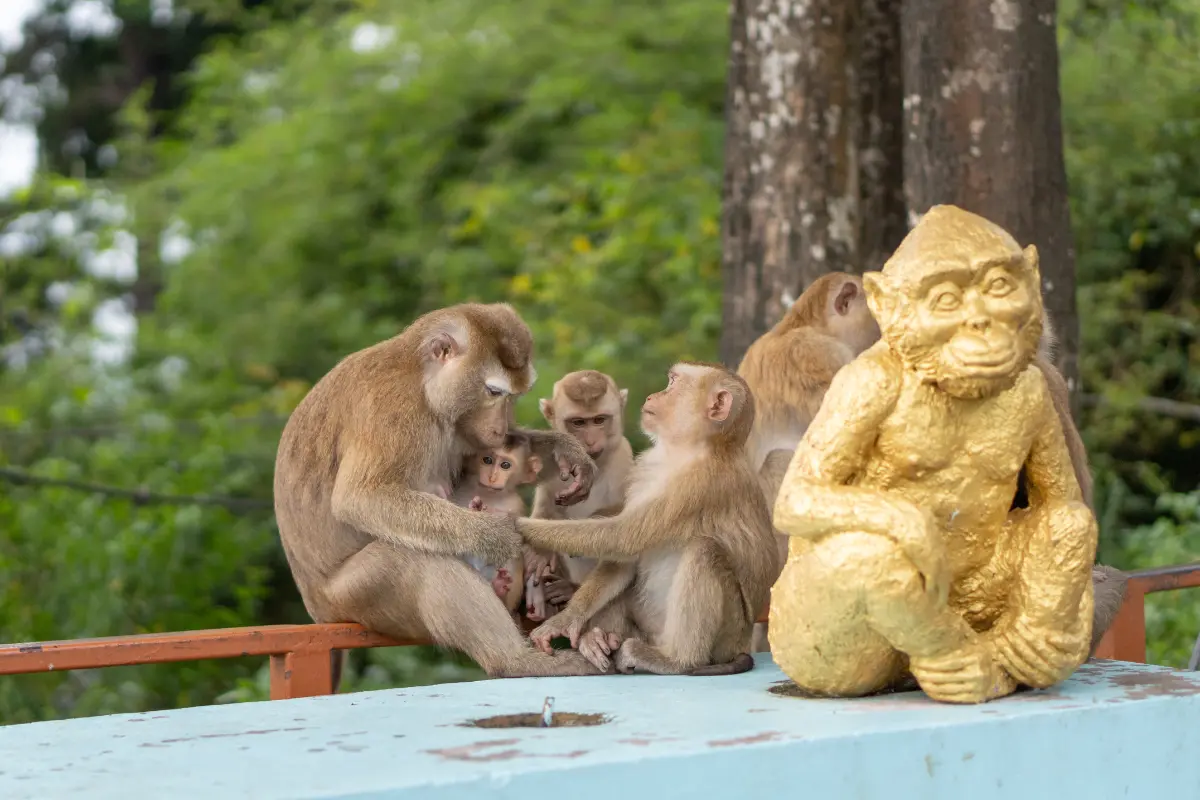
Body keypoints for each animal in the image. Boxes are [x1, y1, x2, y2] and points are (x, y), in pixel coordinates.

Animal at [449, 433, 542, 616]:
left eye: (505, 465)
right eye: (487, 460)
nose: (492, 477)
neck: (489, 494)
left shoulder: (516, 507)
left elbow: (518, 540)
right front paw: (476, 509)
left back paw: (499, 590)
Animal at [526, 370, 635, 619]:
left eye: (599, 420)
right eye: (578, 422)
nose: (591, 441)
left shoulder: (623, 457)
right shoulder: (551, 465)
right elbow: (545, 512)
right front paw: (541, 553)